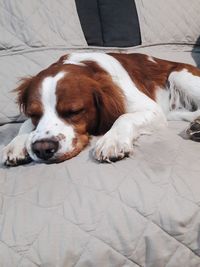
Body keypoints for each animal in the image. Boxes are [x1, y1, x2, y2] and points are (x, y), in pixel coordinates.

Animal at [2, 52, 200, 166]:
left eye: (74, 112)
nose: (43, 149)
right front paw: (17, 144)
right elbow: (25, 125)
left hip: (179, 75)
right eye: (34, 113)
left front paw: (113, 141)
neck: (85, 64)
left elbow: (124, 117)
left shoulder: (153, 110)